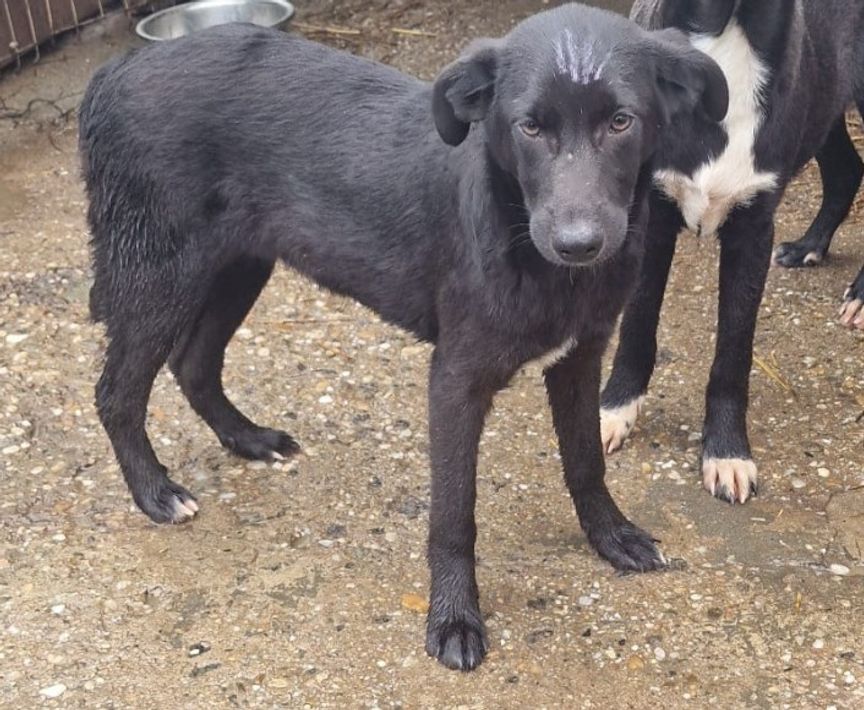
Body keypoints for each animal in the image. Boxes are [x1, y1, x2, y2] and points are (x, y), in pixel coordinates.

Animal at [78, 3, 727, 670]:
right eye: (529, 127)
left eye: (622, 122)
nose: (579, 243)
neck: (523, 236)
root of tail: (115, 71)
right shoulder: (455, 379)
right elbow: (454, 515)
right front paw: (455, 618)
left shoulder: (580, 356)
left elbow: (586, 462)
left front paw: (610, 536)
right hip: (160, 272)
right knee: (116, 392)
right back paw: (155, 492)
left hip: (241, 263)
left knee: (194, 364)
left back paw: (248, 438)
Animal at [601, 0, 864, 505]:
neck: (728, 32)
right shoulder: (650, 218)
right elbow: (636, 325)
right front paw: (613, 409)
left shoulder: (752, 232)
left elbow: (733, 352)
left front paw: (726, 450)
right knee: (847, 169)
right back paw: (808, 247)